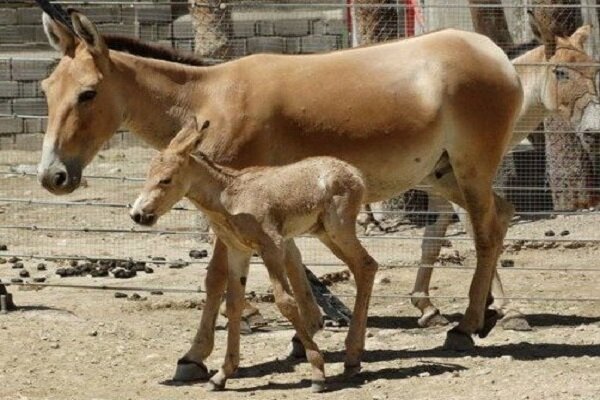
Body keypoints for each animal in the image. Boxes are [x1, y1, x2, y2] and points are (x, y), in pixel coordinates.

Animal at [131, 118, 380, 390]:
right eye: (147, 175)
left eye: (165, 180)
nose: (138, 215)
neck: (229, 197)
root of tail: (354, 172)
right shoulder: (238, 252)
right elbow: (234, 304)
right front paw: (222, 374)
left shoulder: (272, 247)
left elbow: (285, 303)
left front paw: (317, 372)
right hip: (324, 233)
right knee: (364, 267)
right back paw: (352, 360)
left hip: (338, 230)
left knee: (366, 265)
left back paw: (352, 357)